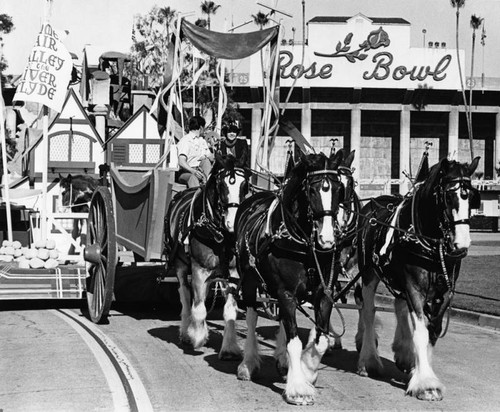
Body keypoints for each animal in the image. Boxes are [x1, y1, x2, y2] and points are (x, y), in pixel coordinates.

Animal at [356, 156, 480, 400]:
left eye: (471, 197)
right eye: (448, 196)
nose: (461, 245)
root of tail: (375, 202)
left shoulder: (445, 291)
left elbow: (433, 330)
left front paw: (421, 369)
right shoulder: (414, 287)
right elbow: (421, 331)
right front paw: (426, 384)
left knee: (399, 306)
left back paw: (404, 354)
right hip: (368, 274)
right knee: (368, 310)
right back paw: (369, 360)